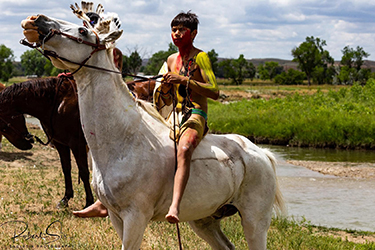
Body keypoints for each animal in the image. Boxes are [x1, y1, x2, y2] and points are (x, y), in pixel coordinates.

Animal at [20, 3, 284, 248]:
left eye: (83, 30)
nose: (35, 19)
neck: (125, 140)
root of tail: (262, 153)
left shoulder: (135, 217)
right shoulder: (116, 217)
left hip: (255, 221)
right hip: (204, 220)